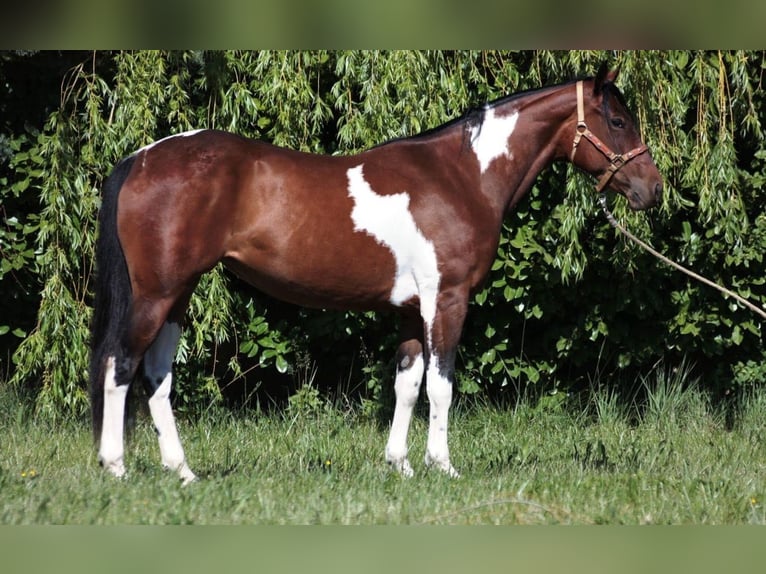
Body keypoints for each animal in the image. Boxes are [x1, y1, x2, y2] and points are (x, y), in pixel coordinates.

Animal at [89, 64, 663, 483]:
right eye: (618, 122)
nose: (652, 189)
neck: (463, 177)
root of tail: (142, 158)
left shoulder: (410, 310)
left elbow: (406, 386)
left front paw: (400, 465)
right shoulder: (446, 299)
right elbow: (441, 385)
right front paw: (442, 466)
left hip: (177, 295)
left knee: (157, 376)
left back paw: (183, 472)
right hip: (157, 294)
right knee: (121, 364)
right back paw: (116, 468)